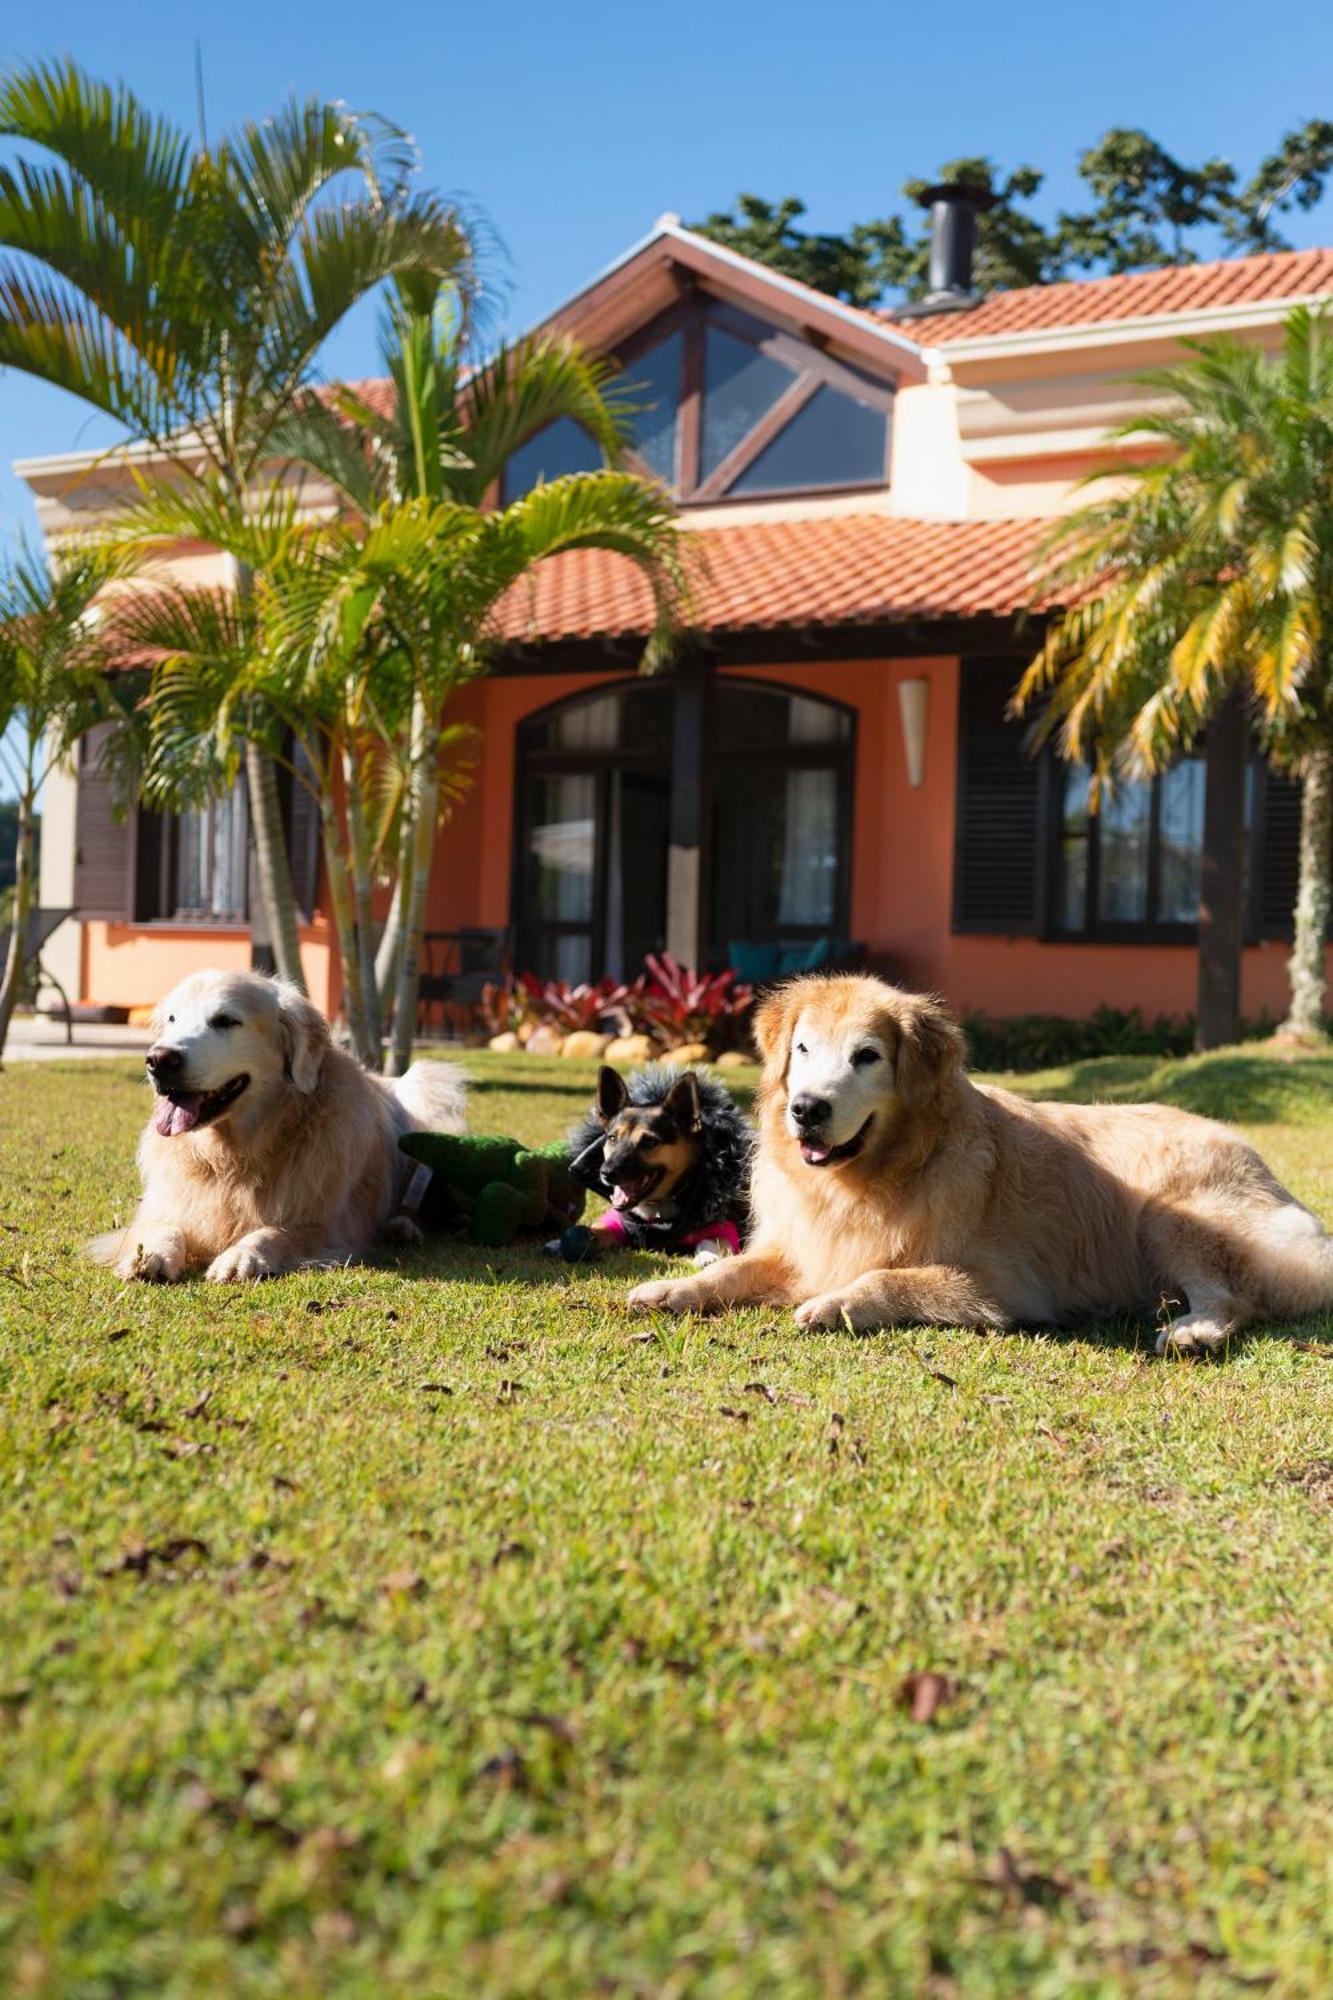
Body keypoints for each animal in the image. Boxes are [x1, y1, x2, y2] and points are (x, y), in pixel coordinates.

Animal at [91, 968, 464, 1280]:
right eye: (172, 1018)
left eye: (226, 1020)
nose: (158, 1060)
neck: (233, 1156)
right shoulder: (167, 1205)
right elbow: (164, 1227)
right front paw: (150, 1255)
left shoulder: (327, 1224)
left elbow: (276, 1231)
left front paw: (242, 1255)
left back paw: (401, 1227)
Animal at [564, 1072, 748, 1256]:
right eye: (612, 1138)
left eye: (649, 1142)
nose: (606, 1173)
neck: (655, 1210)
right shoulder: (617, 1220)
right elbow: (599, 1228)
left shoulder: (724, 1225)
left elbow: (713, 1241)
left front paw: (707, 1257)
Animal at [624, 972, 1328, 1360]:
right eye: (801, 1048)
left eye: (867, 1056)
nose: (807, 1110)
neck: (874, 1177)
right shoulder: (801, 1242)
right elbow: (730, 1269)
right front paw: (671, 1288)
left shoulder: (1004, 1286)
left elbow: (887, 1277)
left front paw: (833, 1303)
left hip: (1164, 1214)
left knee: (1236, 1296)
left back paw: (1194, 1331)